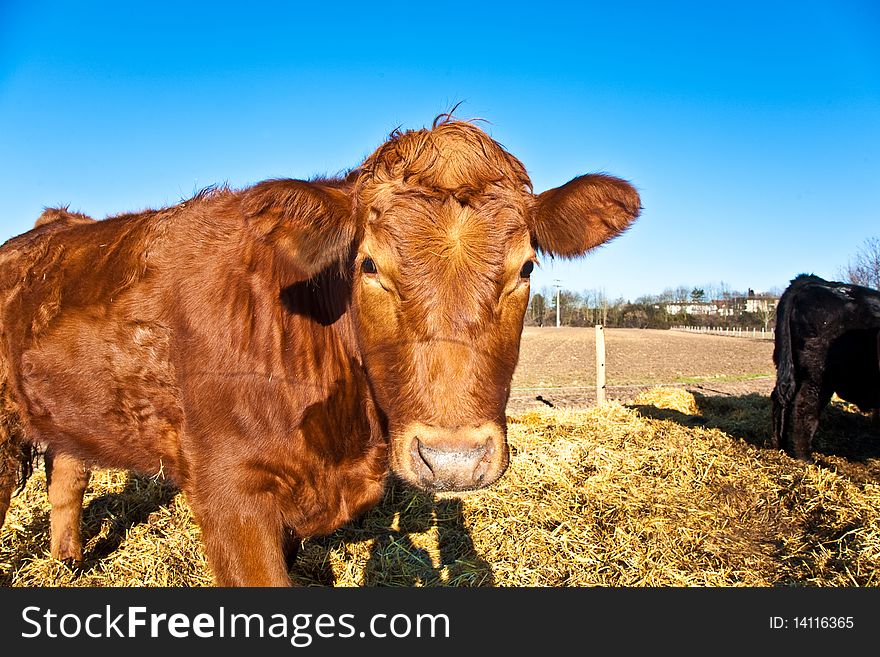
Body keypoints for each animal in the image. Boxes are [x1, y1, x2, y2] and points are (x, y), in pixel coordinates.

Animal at [0, 118, 636, 584]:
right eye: (369, 264)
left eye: (525, 267)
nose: (454, 460)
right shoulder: (230, 493)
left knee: (67, 476)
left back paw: (69, 563)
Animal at [768, 274, 880, 458]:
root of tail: (812, 281)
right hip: (818, 377)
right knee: (804, 408)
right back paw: (805, 457)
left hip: (791, 369)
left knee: (782, 400)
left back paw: (780, 446)